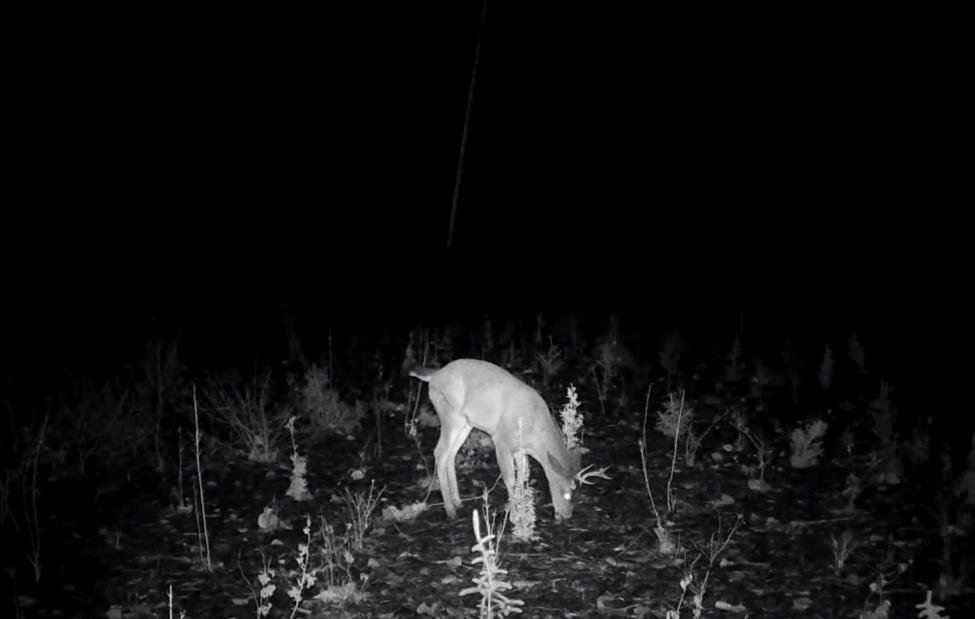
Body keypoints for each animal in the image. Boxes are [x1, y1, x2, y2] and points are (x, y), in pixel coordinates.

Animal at [408, 358, 608, 524]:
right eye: (565, 492)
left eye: (577, 494)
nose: (566, 515)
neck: (533, 428)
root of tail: (435, 375)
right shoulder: (501, 440)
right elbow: (510, 477)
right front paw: (514, 516)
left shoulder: (521, 449)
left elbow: (523, 475)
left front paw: (521, 507)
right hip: (450, 415)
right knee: (439, 452)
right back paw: (450, 511)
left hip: (466, 424)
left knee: (451, 454)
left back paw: (458, 503)